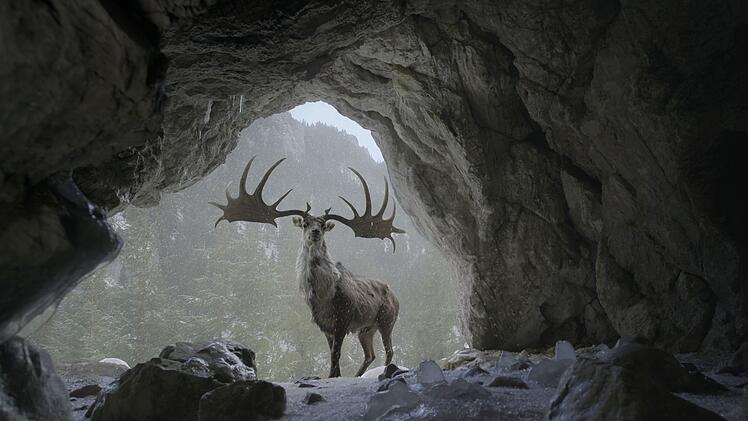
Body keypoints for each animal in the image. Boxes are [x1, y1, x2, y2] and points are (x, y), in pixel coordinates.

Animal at [210, 156, 404, 378]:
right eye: (305, 223)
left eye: (323, 224)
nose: (315, 232)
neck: (324, 296)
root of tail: (396, 296)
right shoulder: (324, 325)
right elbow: (333, 358)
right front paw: (334, 376)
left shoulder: (343, 319)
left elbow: (336, 356)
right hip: (366, 328)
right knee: (370, 354)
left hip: (387, 320)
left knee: (389, 350)